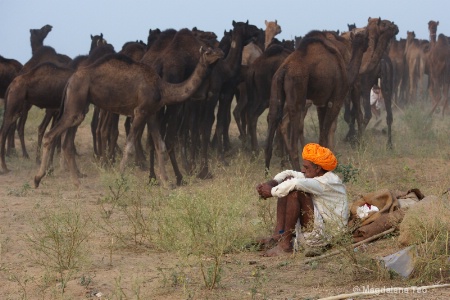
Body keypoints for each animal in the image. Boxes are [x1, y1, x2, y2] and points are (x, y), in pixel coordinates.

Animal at [33, 46, 225, 189]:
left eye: (215, 48)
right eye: (208, 51)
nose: (222, 53)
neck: (162, 88)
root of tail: (70, 80)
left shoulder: (151, 113)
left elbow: (160, 146)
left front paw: (166, 182)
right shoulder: (140, 112)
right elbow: (130, 146)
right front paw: (119, 178)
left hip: (80, 107)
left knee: (67, 142)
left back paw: (77, 183)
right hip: (76, 100)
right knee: (50, 135)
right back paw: (37, 179)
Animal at [264, 27, 370, 172]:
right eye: (367, 37)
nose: (367, 45)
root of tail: (284, 70)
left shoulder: (321, 102)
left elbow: (322, 134)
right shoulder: (336, 99)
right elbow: (326, 132)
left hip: (275, 87)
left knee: (273, 120)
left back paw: (267, 172)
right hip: (297, 89)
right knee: (293, 137)